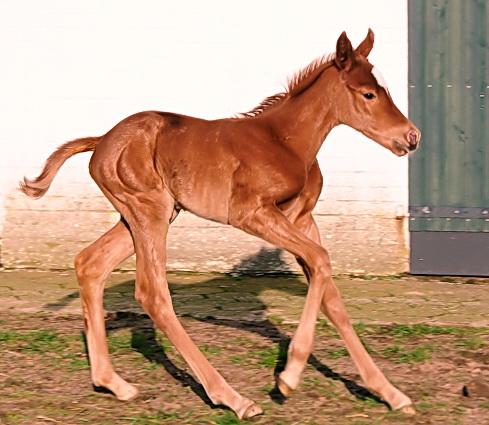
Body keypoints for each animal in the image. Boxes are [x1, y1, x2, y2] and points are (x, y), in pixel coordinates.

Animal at [21, 30, 420, 418]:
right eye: (368, 93)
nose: (411, 136)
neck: (285, 140)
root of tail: (102, 141)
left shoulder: (303, 219)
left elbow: (332, 297)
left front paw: (390, 393)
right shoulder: (252, 213)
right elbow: (322, 260)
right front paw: (289, 375)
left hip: (148, 214)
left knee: (90, 264)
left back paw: (114, 383)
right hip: (150, 211)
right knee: (152, 293)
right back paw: (233, 398)